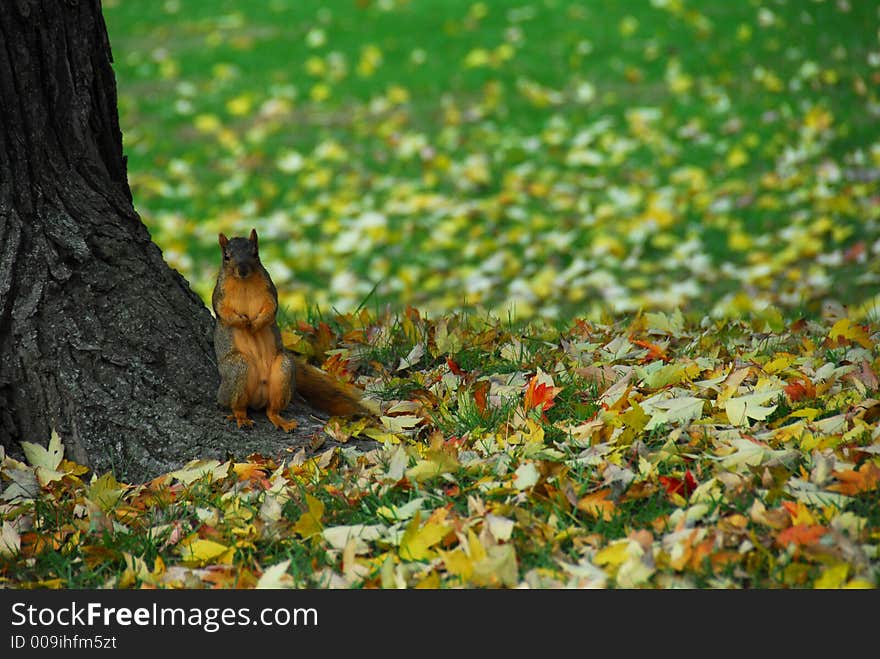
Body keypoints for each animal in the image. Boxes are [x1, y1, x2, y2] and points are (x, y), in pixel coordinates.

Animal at [213, 229, 372, 430]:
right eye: (226, 256)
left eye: (255, 254)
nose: (242, 270)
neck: (244, 283)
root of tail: (256, 399)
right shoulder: (219, 296)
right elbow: (224, 313)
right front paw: (243, 323)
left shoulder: (270, 291)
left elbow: (271, 309)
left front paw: (256, 324)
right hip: (237, 369)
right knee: (236, 405)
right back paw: (241, 417)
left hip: (284, 370)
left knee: (271, 410)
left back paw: (282, 421)